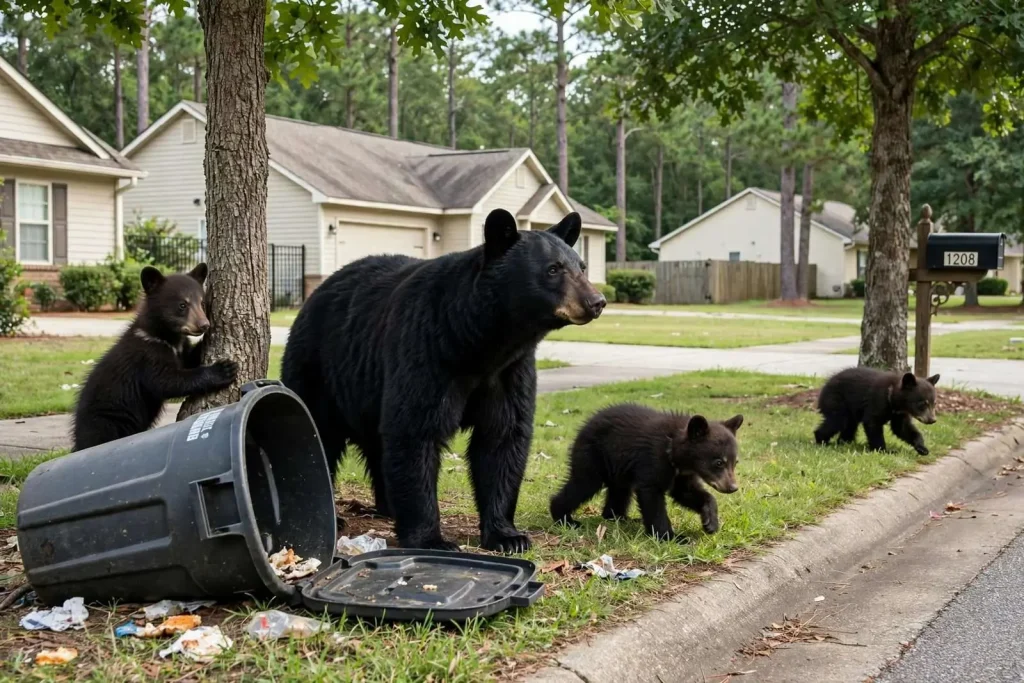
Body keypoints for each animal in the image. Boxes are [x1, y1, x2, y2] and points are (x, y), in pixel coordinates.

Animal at [72, 264, 238, 452]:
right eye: (182, 305)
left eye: (202, 303)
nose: (204, 325)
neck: (166, 337)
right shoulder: (148, 355)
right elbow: (167, 381)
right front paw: (224, 369)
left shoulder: (179, 349)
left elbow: (188, 359)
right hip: (103, 423)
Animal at [280, 209, 607, 552]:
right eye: (553, 269)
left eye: (582, 266)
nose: (596, 301)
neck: (480, 342)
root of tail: (314, 295)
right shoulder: (426, 351)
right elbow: (415, 432)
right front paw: (432, 539)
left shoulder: (509, 372)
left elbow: (503, 438)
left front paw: (507, 535)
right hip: (318, 367)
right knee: (320, 436)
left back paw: (389, 506)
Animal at [549, 403, 744, 541]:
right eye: (718, 462)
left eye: (735, 462)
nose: (733, 487)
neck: (672, 450)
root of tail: (584, 426)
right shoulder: (652, 461)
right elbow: (652, 497)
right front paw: (672, 537)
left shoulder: (682, 474)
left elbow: (687, 493)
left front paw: (711, 523)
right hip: (593, 455)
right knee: (583, 483)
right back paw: (564, 518)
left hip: (618, 468)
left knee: (620, 491)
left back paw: (618, 517)